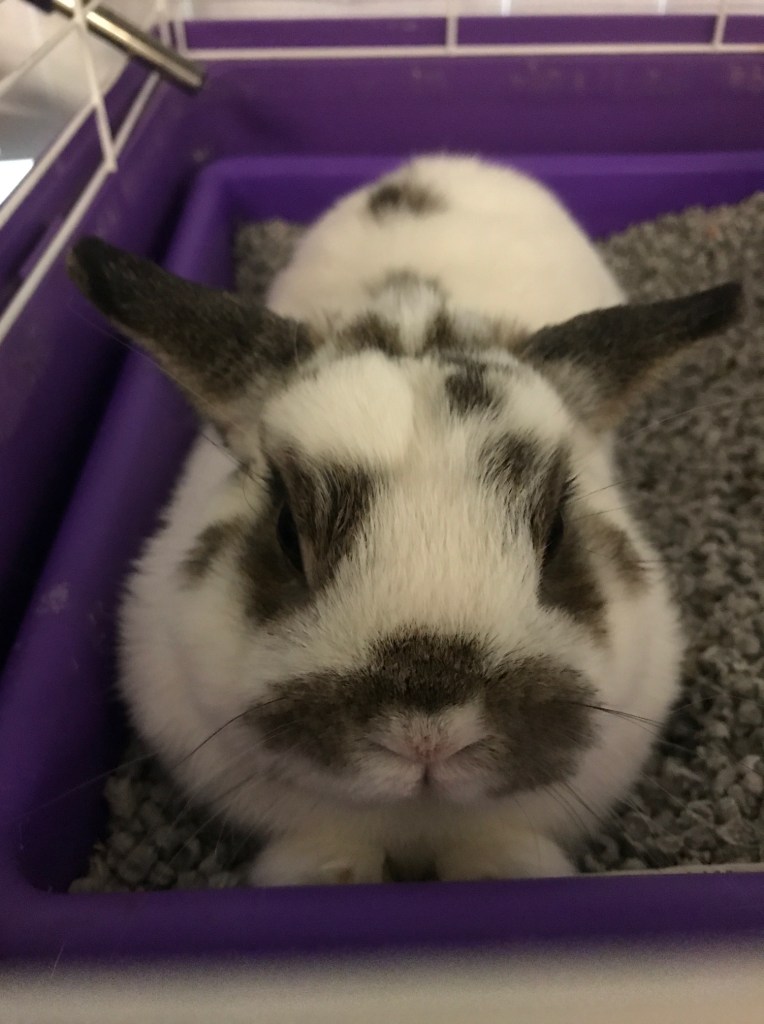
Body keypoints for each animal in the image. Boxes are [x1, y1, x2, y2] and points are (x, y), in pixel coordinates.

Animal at [68, 155, 741, 886]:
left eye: (558, 533)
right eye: (285, 532)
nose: (429, 734)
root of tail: (442, 161)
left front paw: (505, 871)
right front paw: (329, 876)